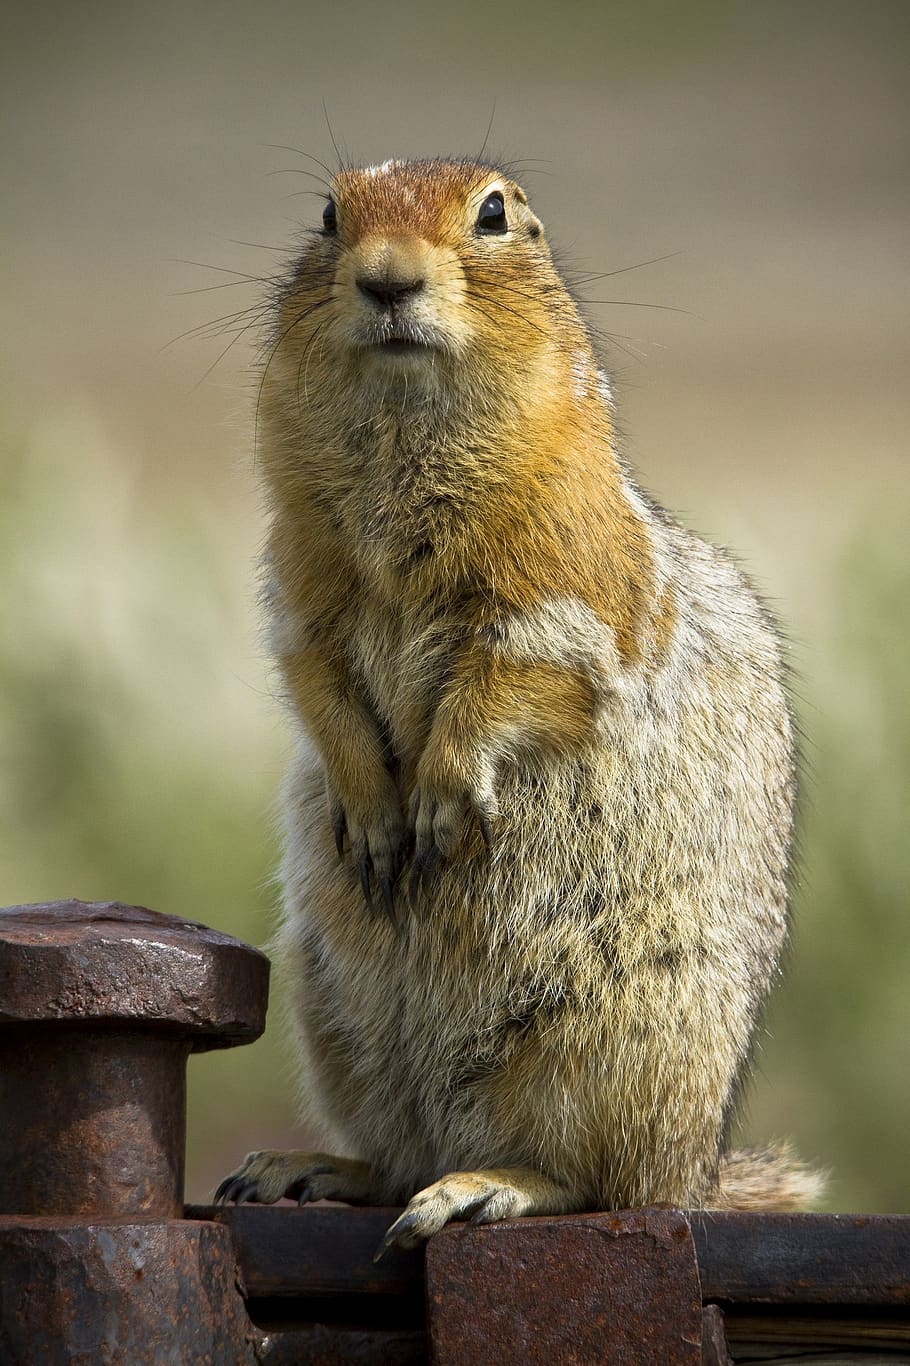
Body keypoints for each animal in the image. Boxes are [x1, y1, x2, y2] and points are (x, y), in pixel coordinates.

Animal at [216, 157, 823, 1249]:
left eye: (493, 214)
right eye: (328, 214)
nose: (385, 277)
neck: (401, 451)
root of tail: (699, 1170)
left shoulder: (560, 577)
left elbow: (513, 676)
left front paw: (438, 803)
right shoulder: (302, 582)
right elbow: (315, 677)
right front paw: (372, 816)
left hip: (611, 1046)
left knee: (597, 1183)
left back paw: (483, 1186)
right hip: (336, 1021)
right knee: (399, 1153)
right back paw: (307, 1166)